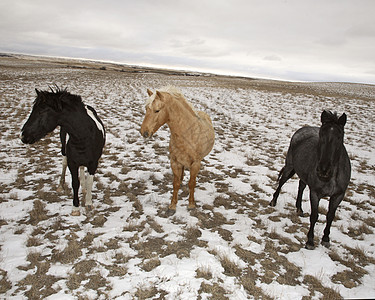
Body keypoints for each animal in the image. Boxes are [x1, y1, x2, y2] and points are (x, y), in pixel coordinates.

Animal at [21, 86, 106, 216]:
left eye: (41, 111)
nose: (24, 136)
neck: (84, 136)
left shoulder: (93, 163)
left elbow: (90, 181)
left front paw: (88, 203)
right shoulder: (72, 163)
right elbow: (75, 183)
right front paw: (75, 208)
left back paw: (84, 189)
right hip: (63, 147)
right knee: (64, 162)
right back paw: (61, 186)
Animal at [270, 111, 352, 250]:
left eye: (339, 137)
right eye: (321, 135)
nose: (323, 169)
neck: (330, 177)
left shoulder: (338, 195)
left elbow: (330, 216)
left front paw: (326, 239)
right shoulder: (315, 193)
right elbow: (314, 216)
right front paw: (310, 241)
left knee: (301, 186)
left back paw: (299, 209)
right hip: (289, 166)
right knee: (281, 183)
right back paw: (273, 201)